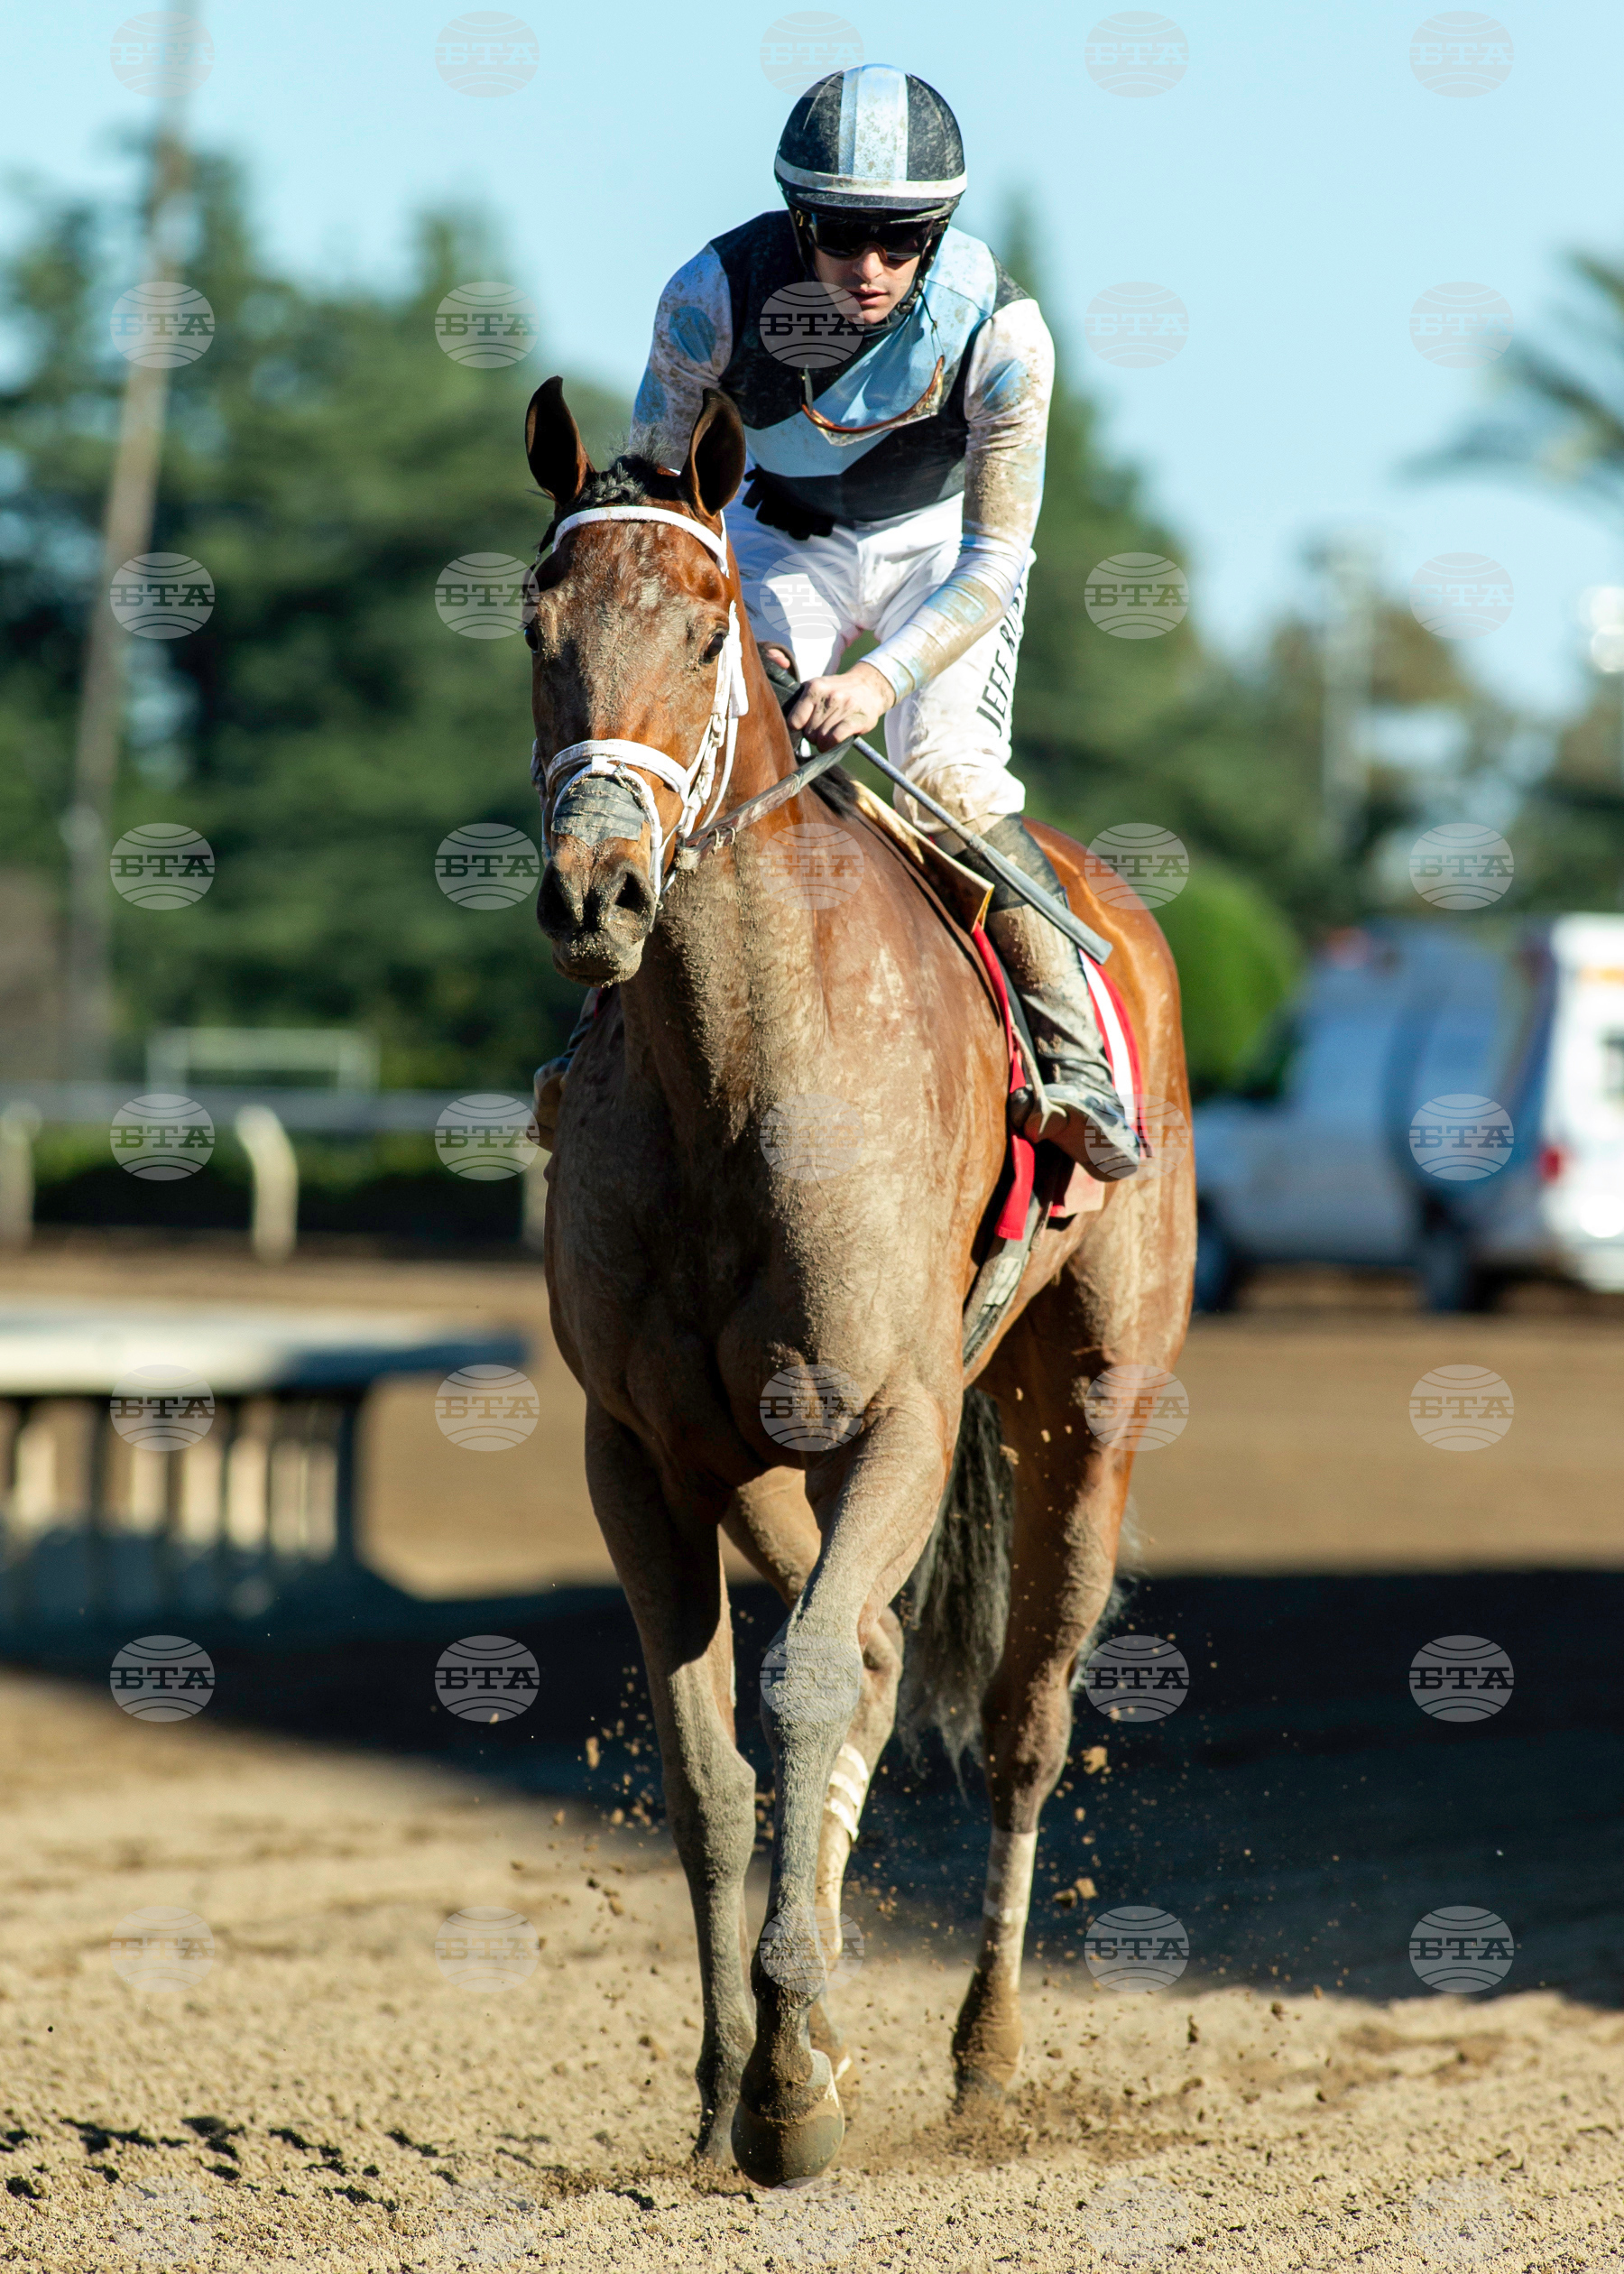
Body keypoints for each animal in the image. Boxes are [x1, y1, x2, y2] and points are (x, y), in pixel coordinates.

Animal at [521, 375, 1194, 2187]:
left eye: (706, 633)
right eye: (536, 629)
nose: (596, 890)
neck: (736, 1071)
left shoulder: (898, 1419)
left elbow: (807, 1679)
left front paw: (792, 2097)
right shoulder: (642, 1450)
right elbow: (710, 1763)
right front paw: (734, 2078)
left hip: (1084, 1404)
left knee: (1021, 1717)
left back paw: (984, 2056)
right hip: (768, 1457)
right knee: (886, 1662)